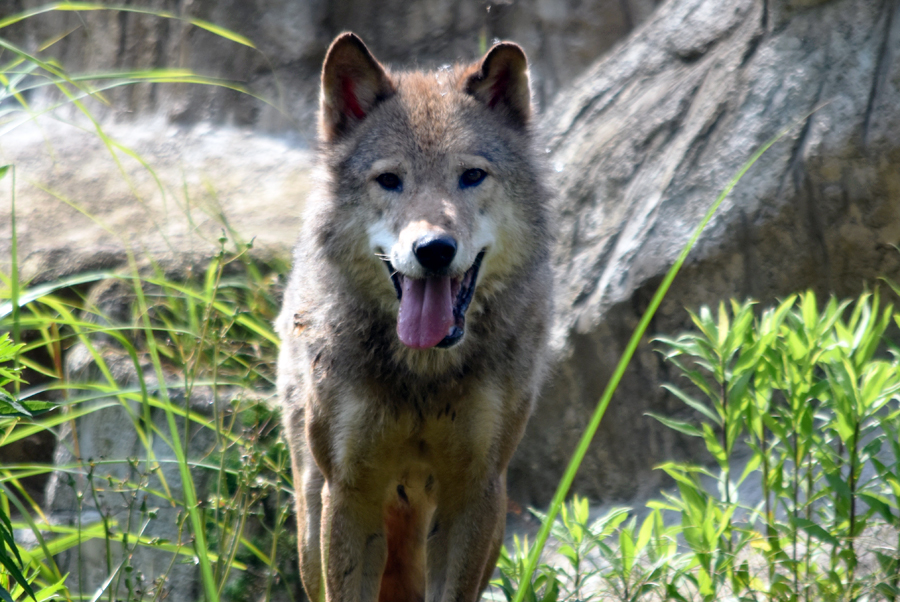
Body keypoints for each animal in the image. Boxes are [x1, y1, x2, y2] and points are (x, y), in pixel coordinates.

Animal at [278, 31, 552, 600]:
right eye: (389, 180)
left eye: (471, 176)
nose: (433, 249)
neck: (422, 376)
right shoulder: (350, 492)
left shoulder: (473, 492)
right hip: (312, 521)